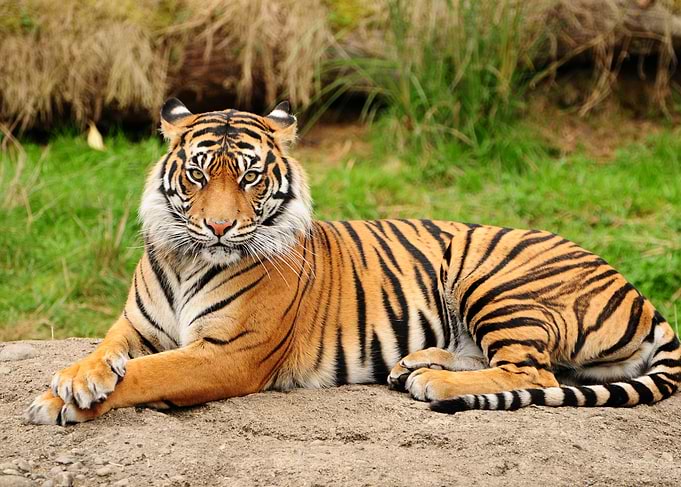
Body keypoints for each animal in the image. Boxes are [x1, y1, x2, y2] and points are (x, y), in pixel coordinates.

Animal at [26, 99, 680, 425]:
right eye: (197, 174)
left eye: (250, 177)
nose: (218, 226)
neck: (189, 260)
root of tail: (639, 293)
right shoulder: (135, 326)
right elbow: (106, 354)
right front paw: (75, 380)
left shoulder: (227, 354)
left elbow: (147, 374)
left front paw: (61, 402)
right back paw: (416, 365)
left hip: (494, 278)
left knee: (534, 373)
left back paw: (433, 381)